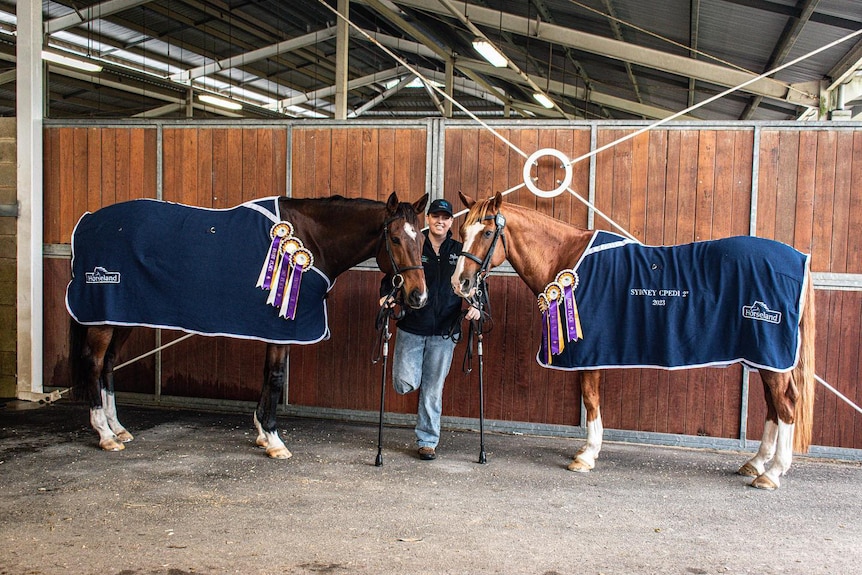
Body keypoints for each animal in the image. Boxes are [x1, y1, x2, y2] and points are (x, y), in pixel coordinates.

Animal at [70, 194, 428, 460]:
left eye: (421, 240)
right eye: (395, 238)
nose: (419, 296)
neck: (311, 238)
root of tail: (88, 220)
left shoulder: (273, 328)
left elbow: (268, 375)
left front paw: (261, 433)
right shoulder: (281, 327)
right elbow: (276, 377)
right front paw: (274, 439)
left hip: (121, 316)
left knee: (109, 364)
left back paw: (118, 427)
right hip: (103, 316)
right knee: (94, 363)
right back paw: (104, 434)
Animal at [452, 194, 816, 490]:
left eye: (487, 233)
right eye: (462, 232)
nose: (460, 283)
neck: (566, 256)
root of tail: (799, 259)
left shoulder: (591, 353)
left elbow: (591, 399)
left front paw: (586, 455)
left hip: (771, 356)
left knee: (785, 405)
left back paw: (772, 473)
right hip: (765, 358)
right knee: (773, 406)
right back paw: (755, 464)